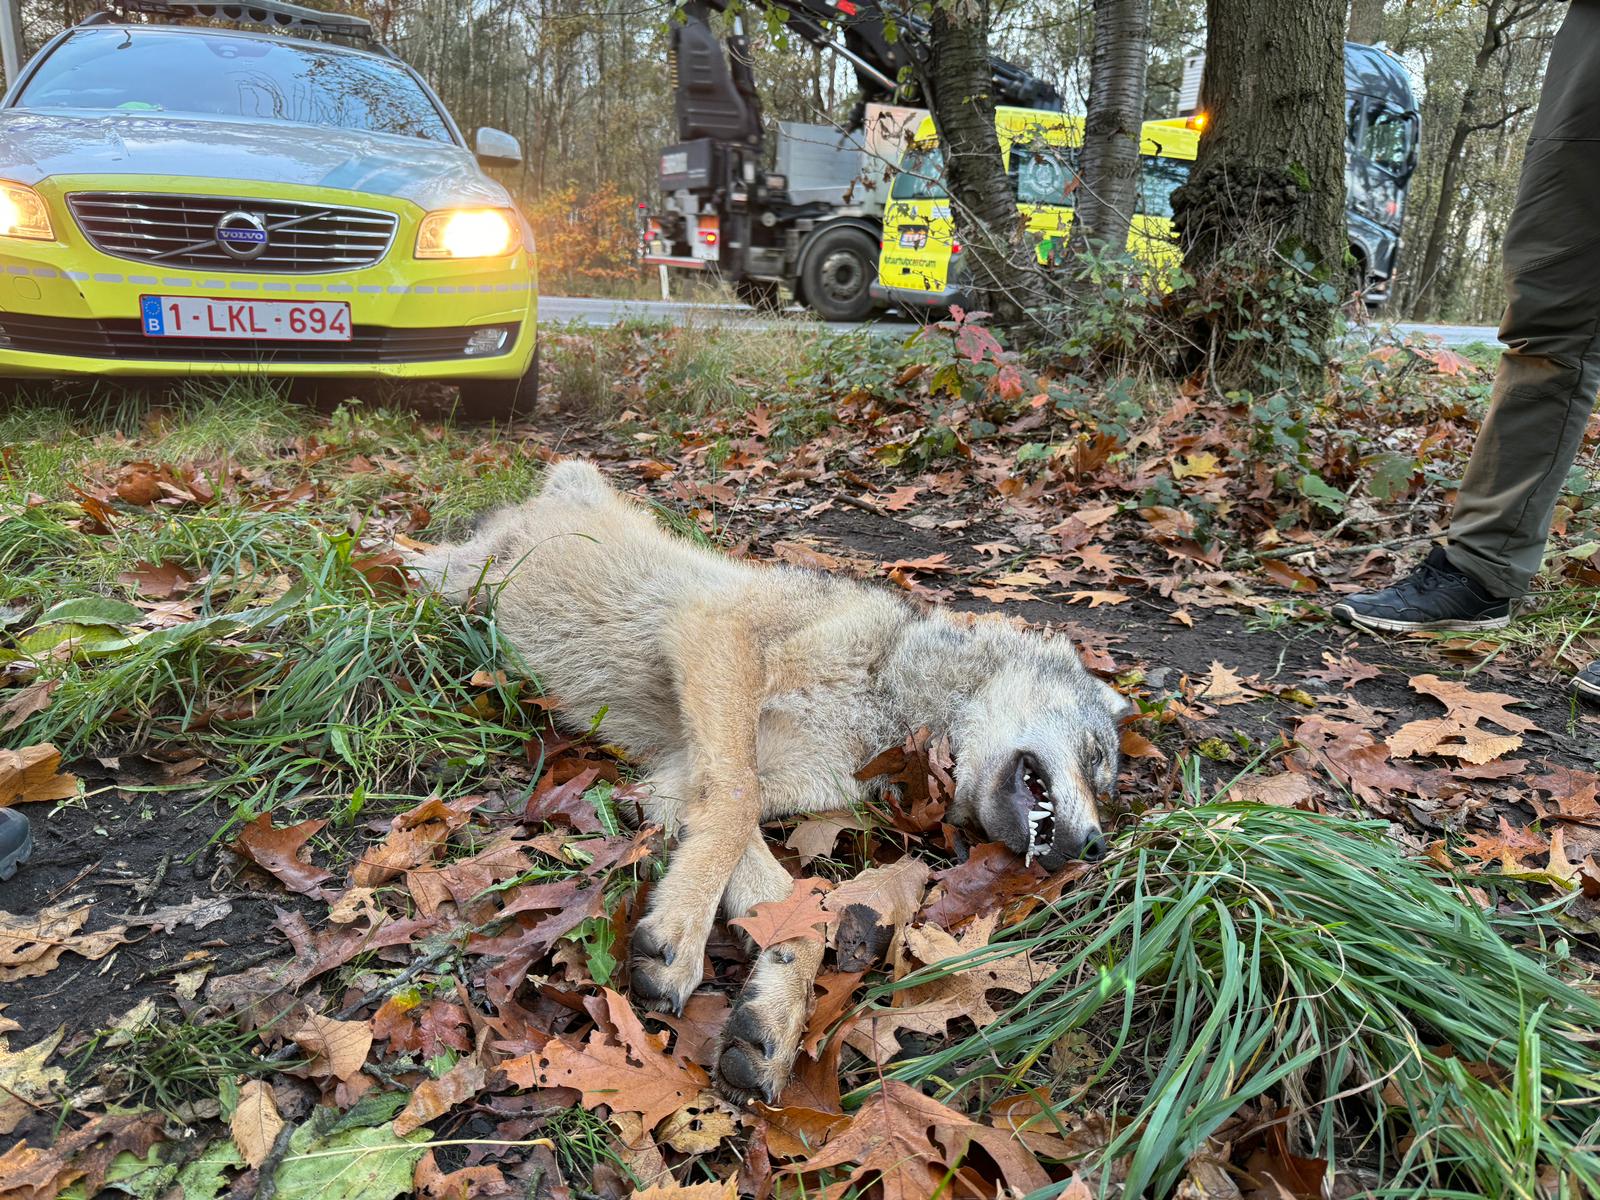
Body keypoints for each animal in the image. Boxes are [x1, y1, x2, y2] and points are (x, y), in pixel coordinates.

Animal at [410, 459, 1128, 1103]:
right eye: (1099, 759)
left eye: (1105, 781)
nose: (1096, 848)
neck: (890, 696)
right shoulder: (718, 632)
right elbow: (735, 804)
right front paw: (679, 937)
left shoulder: (676, 783)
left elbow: (797, 914)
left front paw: (770, 1021)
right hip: (455, 576)